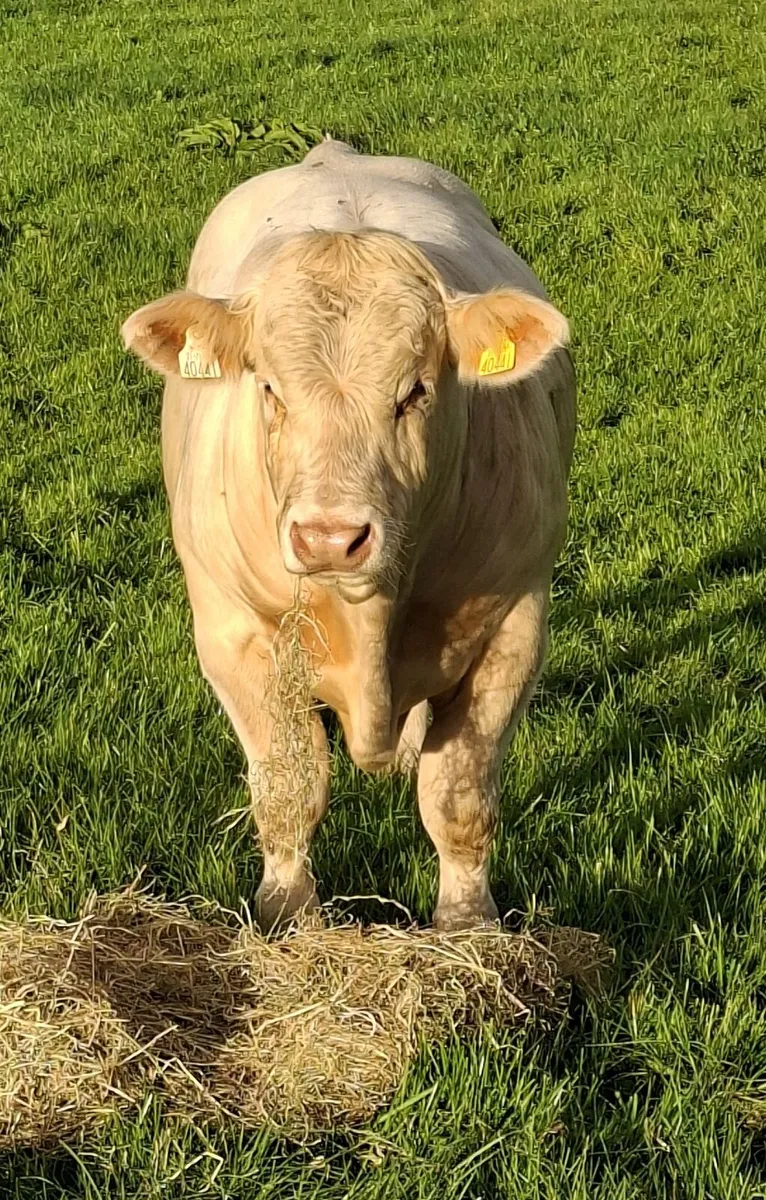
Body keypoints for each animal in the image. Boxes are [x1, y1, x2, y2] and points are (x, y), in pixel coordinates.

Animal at [122, 140, 575, 931]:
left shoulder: (515, 624)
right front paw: (286, 913)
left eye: (416, 390)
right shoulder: (232, 630)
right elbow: (289, 785)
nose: (331, 538)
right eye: (269, 388)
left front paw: (467, 926)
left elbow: (458, 795)